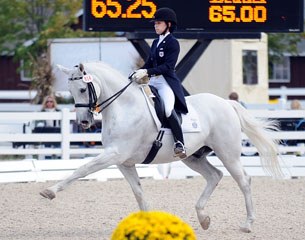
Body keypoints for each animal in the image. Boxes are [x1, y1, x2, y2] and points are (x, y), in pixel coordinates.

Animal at [40, 61, 282, 232]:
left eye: (82, 89)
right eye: (70, 90)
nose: (83, 122)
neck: (124, 107)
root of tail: (226, 103)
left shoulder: (114, 154)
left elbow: (82, 169)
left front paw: (49, 191)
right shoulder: (123, 162)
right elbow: (138, 192)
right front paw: (147, 223)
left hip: (227, 153)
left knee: (244, 180)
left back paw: (247, 224)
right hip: (193, 157)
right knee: (215, 175)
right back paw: (203, 218)